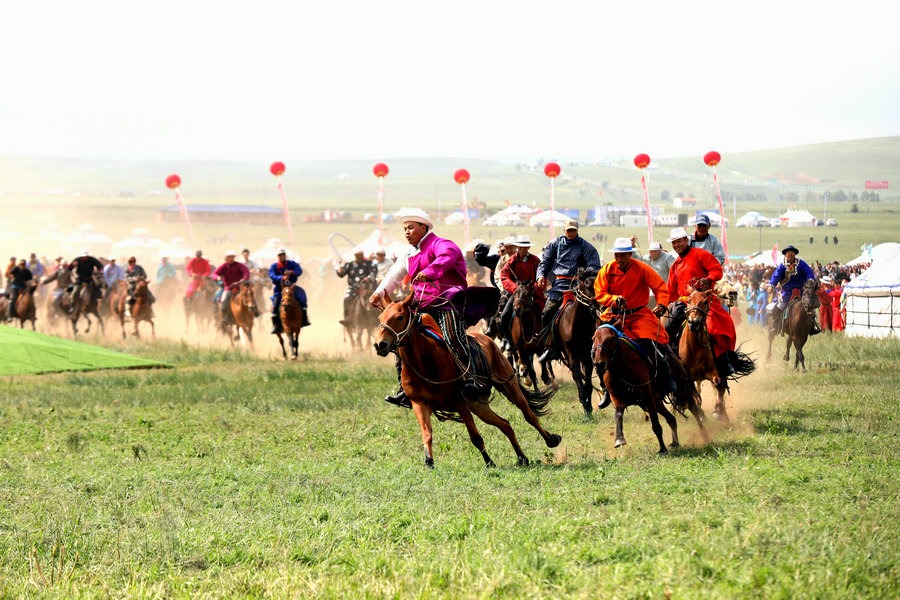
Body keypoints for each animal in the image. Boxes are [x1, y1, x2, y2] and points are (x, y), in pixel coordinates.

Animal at [373, 292, 562, 469]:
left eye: (399, 317)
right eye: (380, 318)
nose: (379, 344)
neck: (425, 362)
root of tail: (488, 341)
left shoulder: (460, 402)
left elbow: (475, 437)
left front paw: (489, 462)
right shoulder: (419, 403)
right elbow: (427, 433)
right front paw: (429, 462)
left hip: (508, 385)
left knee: (529, 415)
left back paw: (551, 440)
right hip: (478, 405)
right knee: (505, 424)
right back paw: (522, 457)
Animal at [591, 315, 708, 453]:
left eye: (612, 338)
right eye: (593, 338)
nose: (599, 364)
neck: (622, 368)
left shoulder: (647, 396)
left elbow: (656, 425)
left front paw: (662, 449)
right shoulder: (617, 399)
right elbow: (618, 415)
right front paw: (619, 439)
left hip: (682, 389)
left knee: (693, 409)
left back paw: (704, 434)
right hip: (655, 401)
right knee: (671, 419)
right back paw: (675, 442)